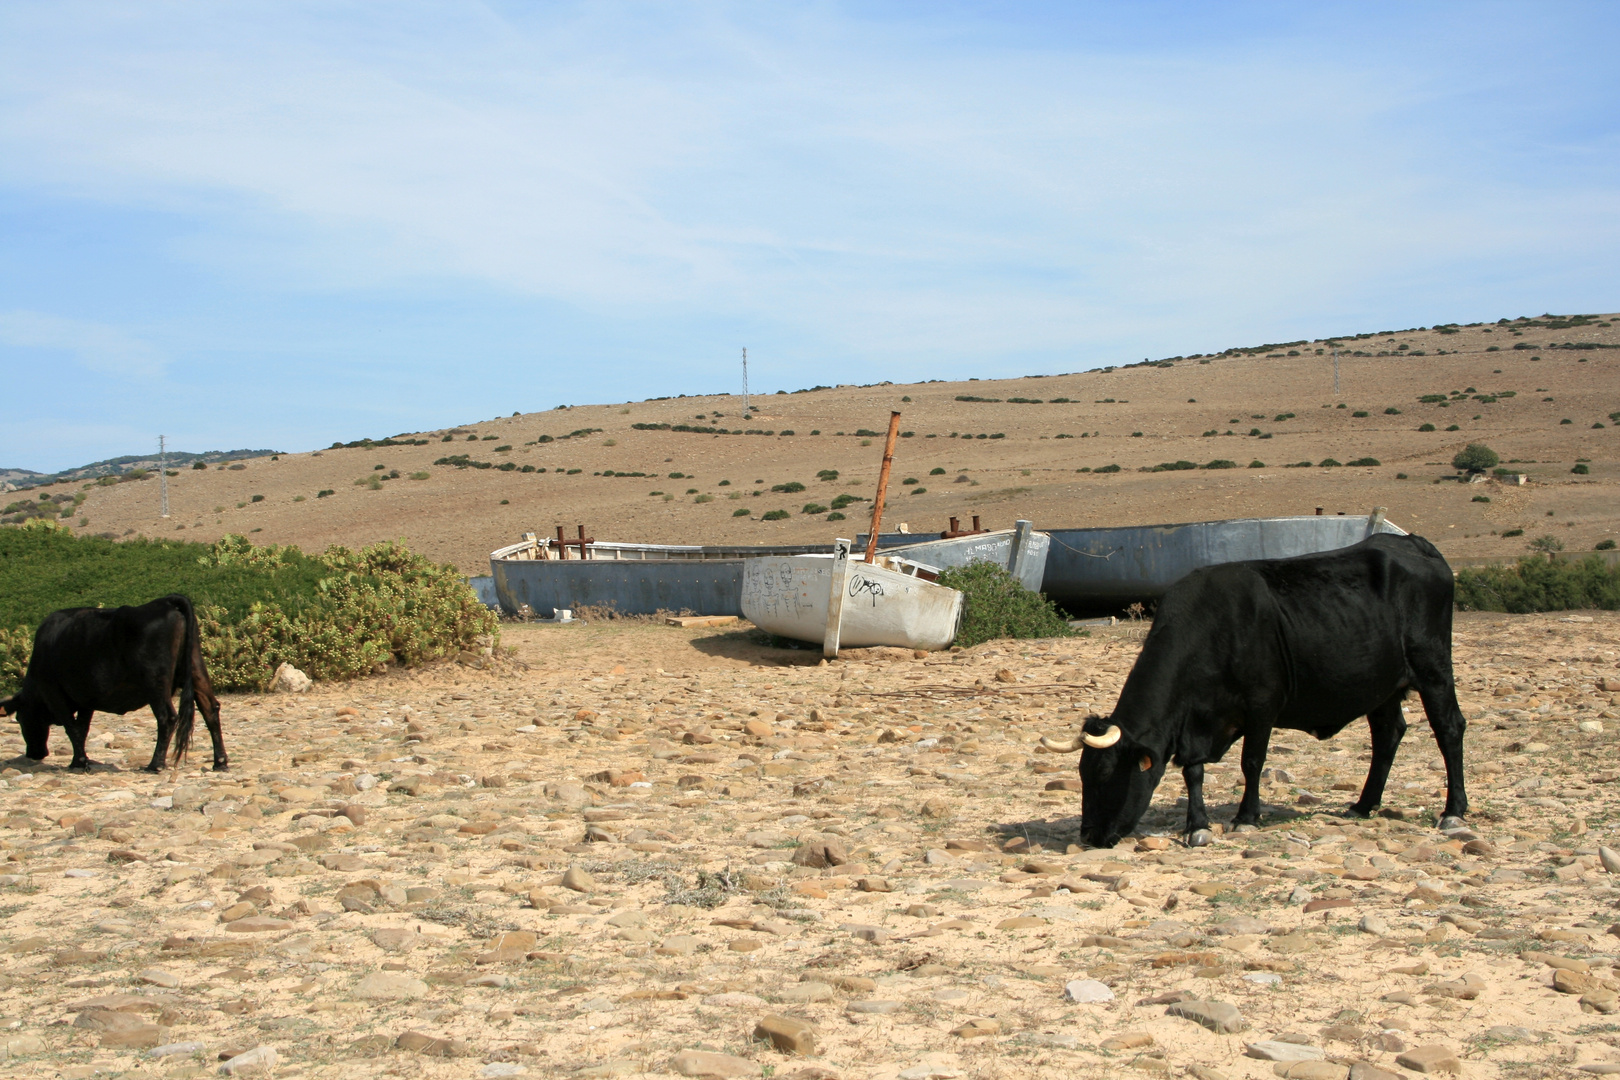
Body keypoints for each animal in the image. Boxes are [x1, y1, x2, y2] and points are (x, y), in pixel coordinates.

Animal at [0, 595, 228, 773]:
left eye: (19, 718)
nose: (34, 754)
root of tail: (165, 602)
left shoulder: (54, 694)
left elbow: (71, 728)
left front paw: (80, 763)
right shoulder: (85, 699)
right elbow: (82, 729)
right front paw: (79, 760)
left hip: (155, 681)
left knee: (167, 717)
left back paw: (155, 764)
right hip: (196, 668)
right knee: (210, 709)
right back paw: (220, 762)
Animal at [1036, 537, 1470, 848]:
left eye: (1106, 774)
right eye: (1083, 774)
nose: (1089, 835)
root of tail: (1414, 544)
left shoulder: (1262, 707)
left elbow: (1252, 762)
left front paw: (1246, 817)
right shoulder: (1195, 723)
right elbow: (1193, 771)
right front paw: (1197, 825)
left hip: (1433, 668)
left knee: (1449, 728)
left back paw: (1454, 811)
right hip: (1381, 688)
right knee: (1387, 736)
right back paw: (1364, 806)